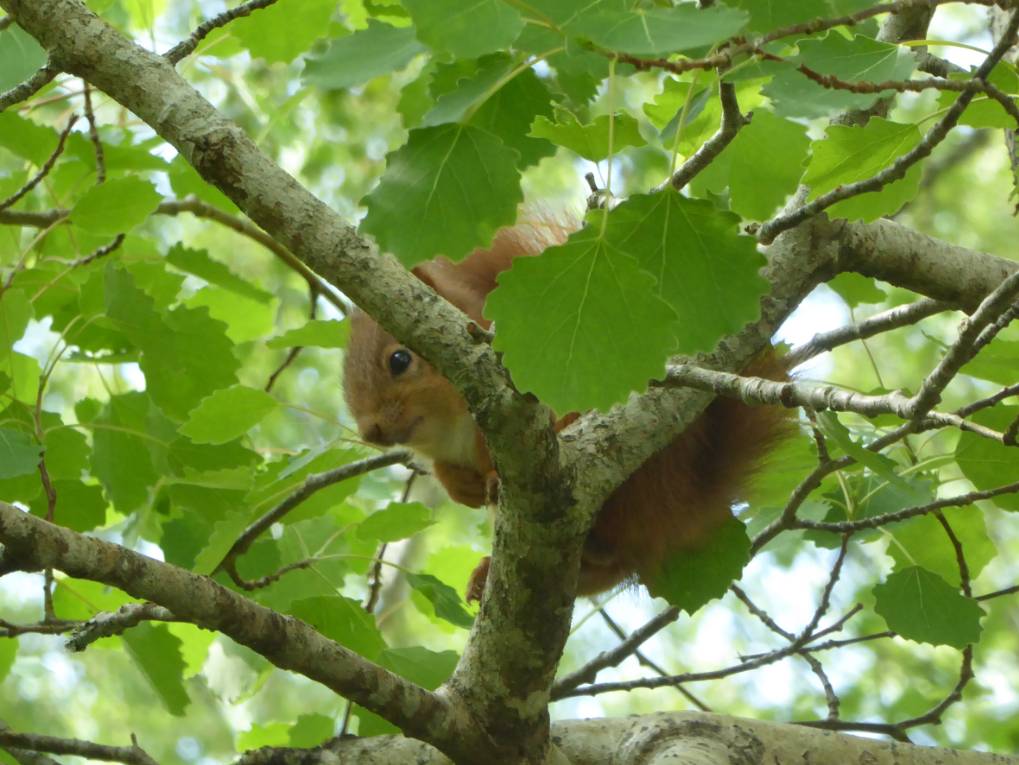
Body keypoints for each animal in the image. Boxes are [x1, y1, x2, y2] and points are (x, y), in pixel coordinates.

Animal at [343, 217, 790, 602]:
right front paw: (459, 485)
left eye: (399, 360)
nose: (371, 432)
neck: (450, 430)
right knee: (605, 571)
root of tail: (684, 508)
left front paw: (489, 472)